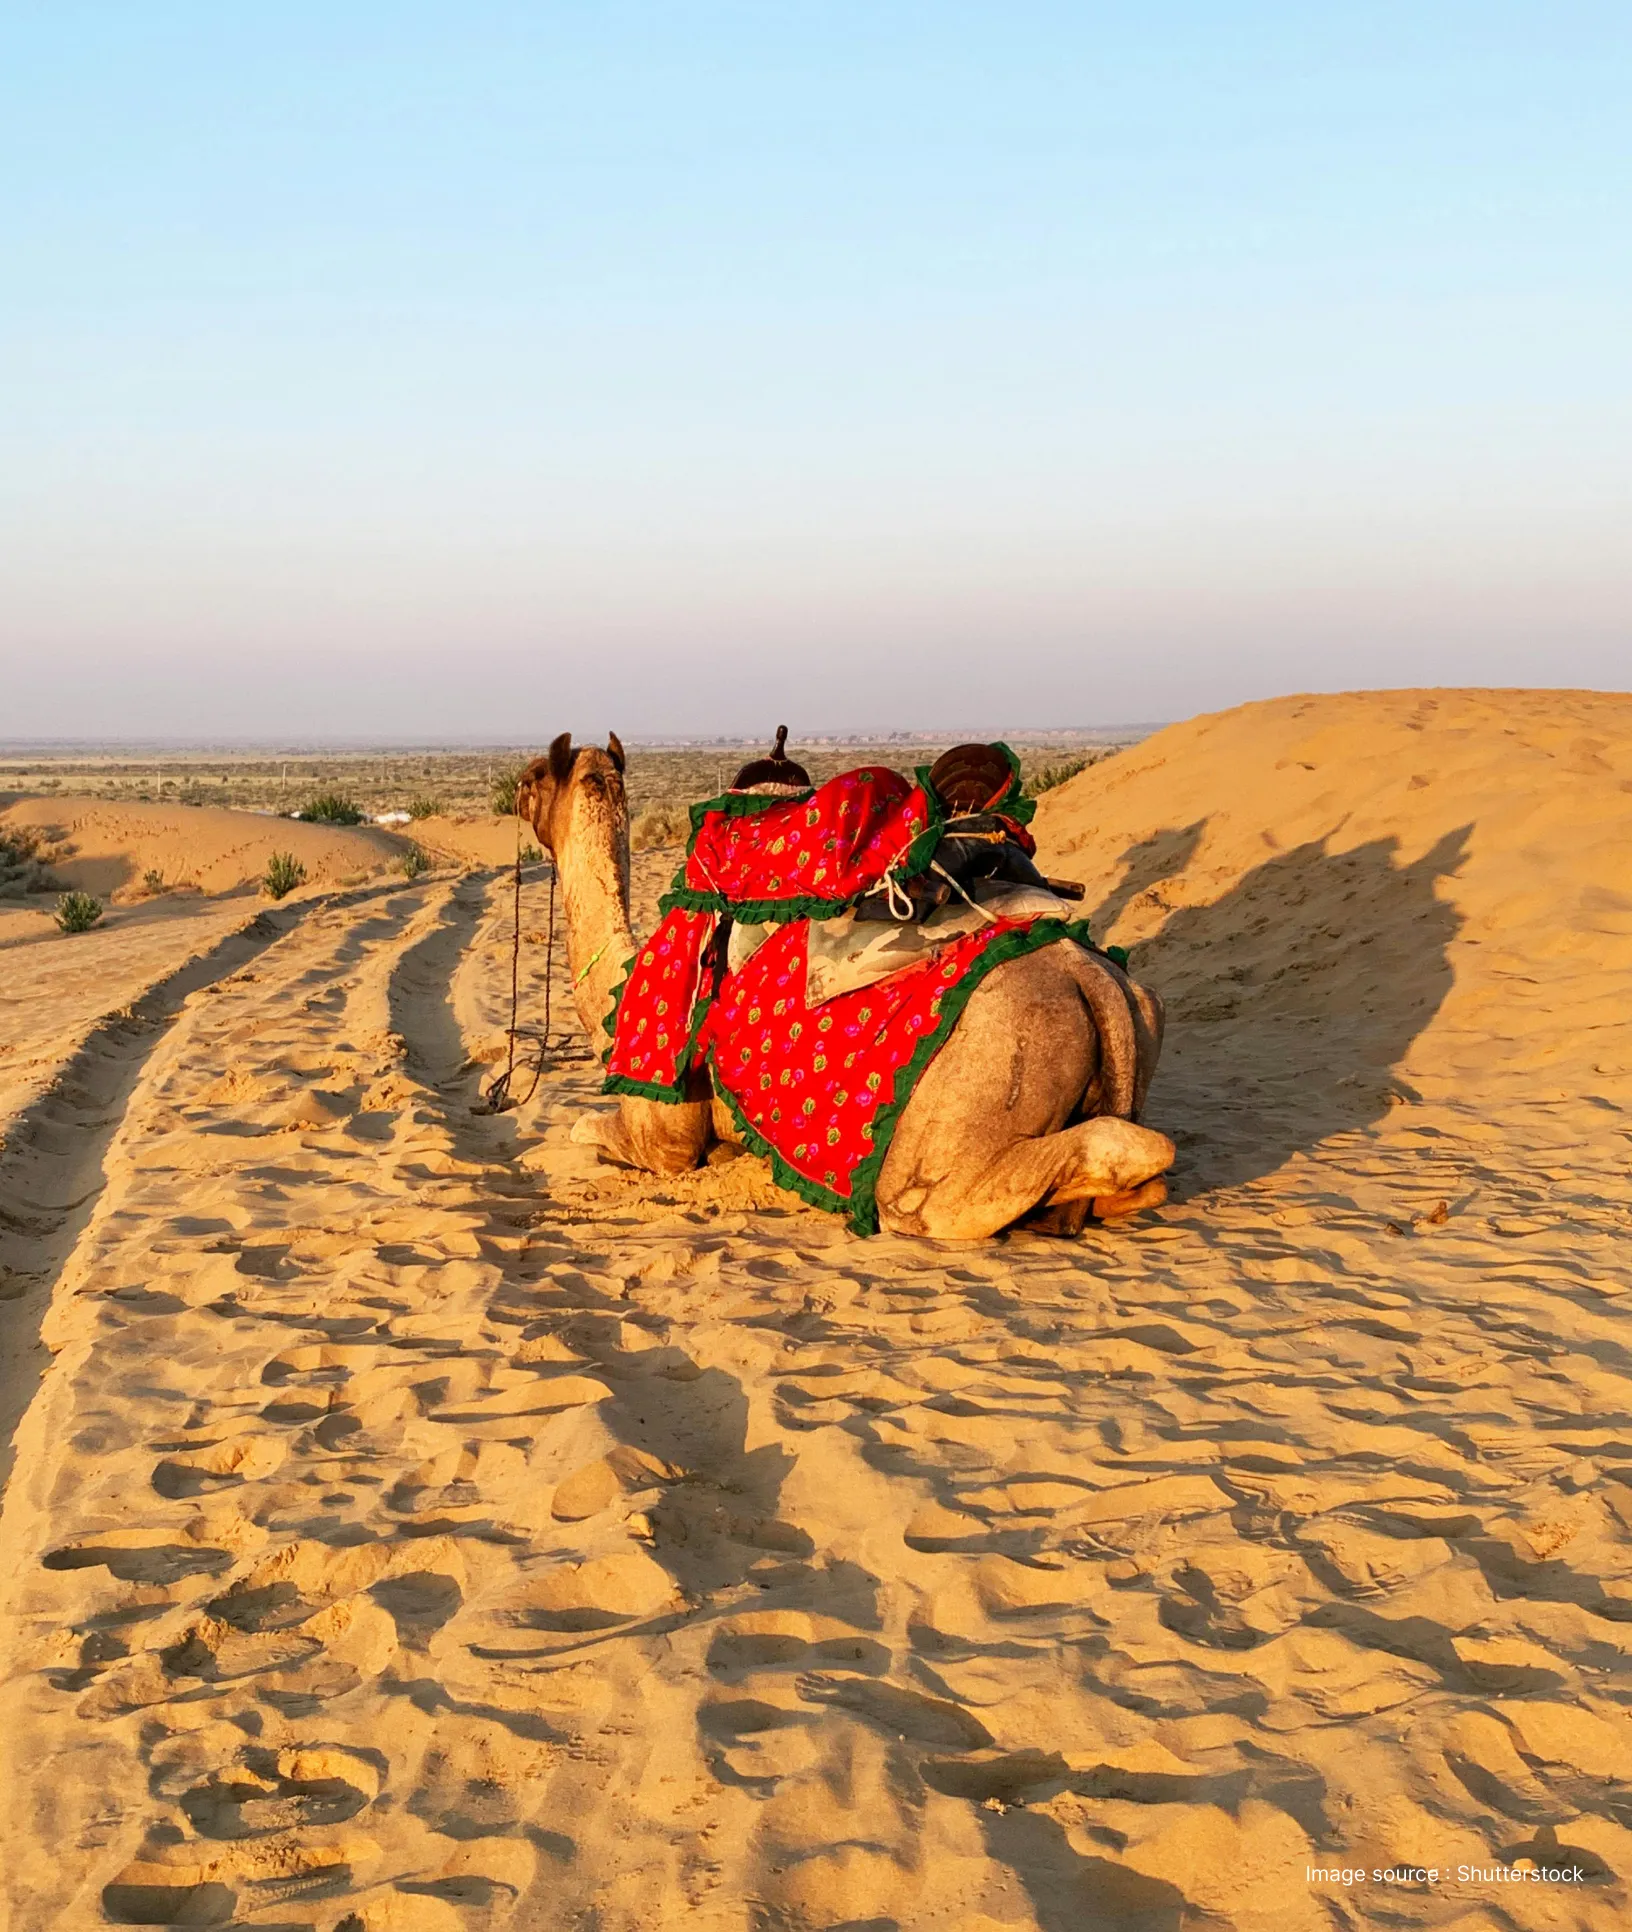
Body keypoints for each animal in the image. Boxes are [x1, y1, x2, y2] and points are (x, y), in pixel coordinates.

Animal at [516, 733, 1175, 1240]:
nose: (517, 789)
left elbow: (587, 1132)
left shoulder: (663, 1124)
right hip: (1141, 1016)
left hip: (953, 1137)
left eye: (535, 775)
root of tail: (1088, 978)